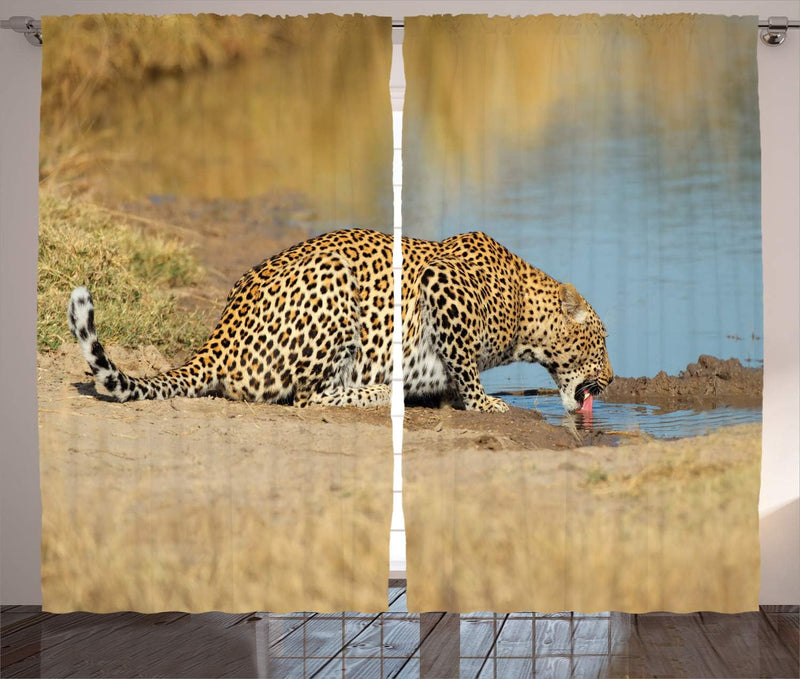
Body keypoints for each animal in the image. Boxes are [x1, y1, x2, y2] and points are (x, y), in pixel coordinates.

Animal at [70, 228, 612, 412]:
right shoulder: (441, 283)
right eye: (603, 343)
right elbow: (464, 365)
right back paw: (382, 393)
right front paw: (484, 403)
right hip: (335, 287)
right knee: (310, 396)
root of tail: (218, 337)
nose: (610, 379)